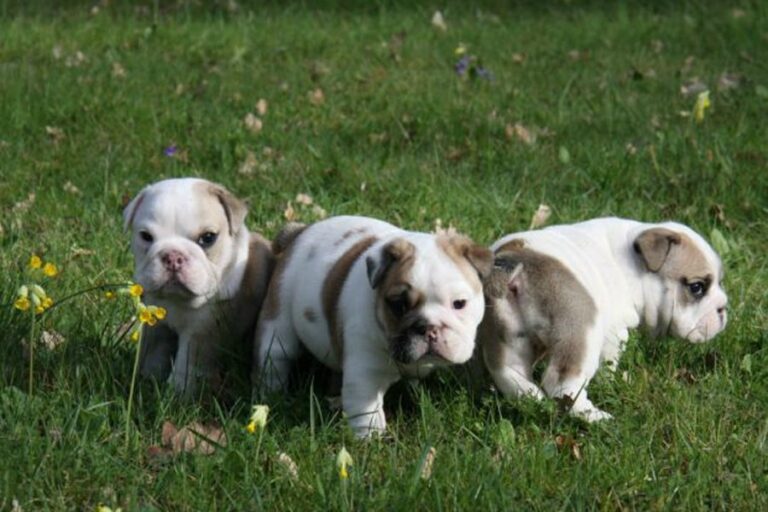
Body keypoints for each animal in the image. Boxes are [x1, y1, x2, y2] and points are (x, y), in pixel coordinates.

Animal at [123, 178, 272, 398]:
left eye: (208, 238)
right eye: (146, 236)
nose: (173, 256)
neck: (177, 301)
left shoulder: (203, 329)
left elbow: (187, 362)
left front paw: (177, 393)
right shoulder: (156, 324)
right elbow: (152, 351)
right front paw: (146, 379)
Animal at [252, 215, 492, 436]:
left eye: (459, 304)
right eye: (399, 305)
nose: (429, 328)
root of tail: (298, 233)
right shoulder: (365, 374)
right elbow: (366, 412)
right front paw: (369, 441)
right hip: (279, 319)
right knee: (275, 358)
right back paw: (274, 396)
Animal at [480, 216, 728, 420]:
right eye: (697, 287)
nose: (723, 307)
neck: (634, 265)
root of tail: (517, 266)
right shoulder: (615, 333)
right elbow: (609, 365)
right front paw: (612, 382)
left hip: (506, 337)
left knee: (508, 372)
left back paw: (532, 400)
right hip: (582, 330)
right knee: (562, 385)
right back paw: (595, 417)